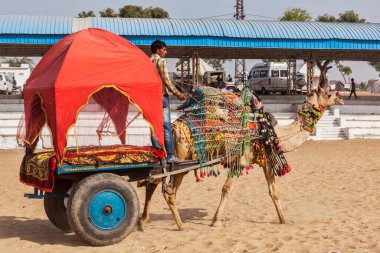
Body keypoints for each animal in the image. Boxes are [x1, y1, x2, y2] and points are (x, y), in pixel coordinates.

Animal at [137, 87, 344, 231]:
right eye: (328, 92)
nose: (340, 98)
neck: (273, 132)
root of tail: (173, 127)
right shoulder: (241, 160)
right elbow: (227, 189)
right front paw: (216, 221)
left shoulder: (265, 161)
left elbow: (273, 192)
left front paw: (284, 219)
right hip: (181, 160)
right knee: (169, 191)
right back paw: (180, 225)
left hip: (172, 161)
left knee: (154, 183)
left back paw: (143, 222)